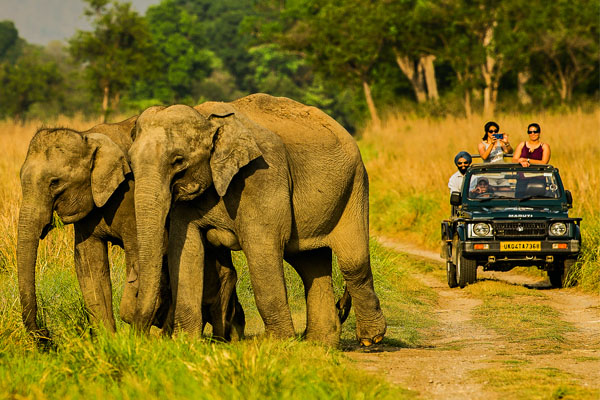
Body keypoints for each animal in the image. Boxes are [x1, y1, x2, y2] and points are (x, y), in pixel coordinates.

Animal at [17, 118, 245, 340]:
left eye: (55, 182)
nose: (45, 335)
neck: (88, 137)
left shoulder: (130, 195)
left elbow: (140, 254)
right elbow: (89, 264)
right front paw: (108, 342)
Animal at [129, 94, 386, 346]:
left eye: (178, 161)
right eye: (130, 163)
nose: (141, 335)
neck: (206, 117)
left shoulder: (262, 175)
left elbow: (261, 248)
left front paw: (278, 344)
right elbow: (186, 252)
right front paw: (186, 343)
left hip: (354, 186)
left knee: (353, 262)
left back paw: (370, 339)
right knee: (310, 264)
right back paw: (319, 344)